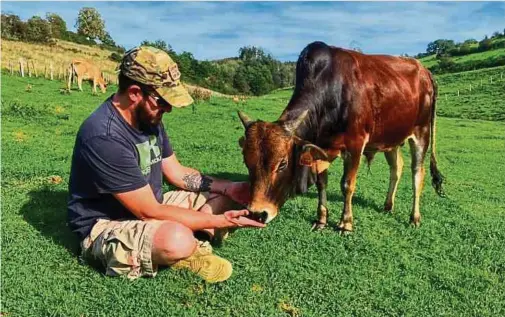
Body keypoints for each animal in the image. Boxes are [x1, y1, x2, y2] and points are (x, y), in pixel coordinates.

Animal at [236, 40, 440, 231]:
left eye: (282, 164)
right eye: (247, 162)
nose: (257, 213)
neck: (332, 89)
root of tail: (425, 71)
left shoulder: (356, 144)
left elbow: (347, 184)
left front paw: (346, 223)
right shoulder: (320, 147)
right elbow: (321, 183)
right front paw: (321, 220)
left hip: (422, 133)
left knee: (417, 173)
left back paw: (414, 217)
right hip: (391, 138)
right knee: (396, 167)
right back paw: (388, 206)